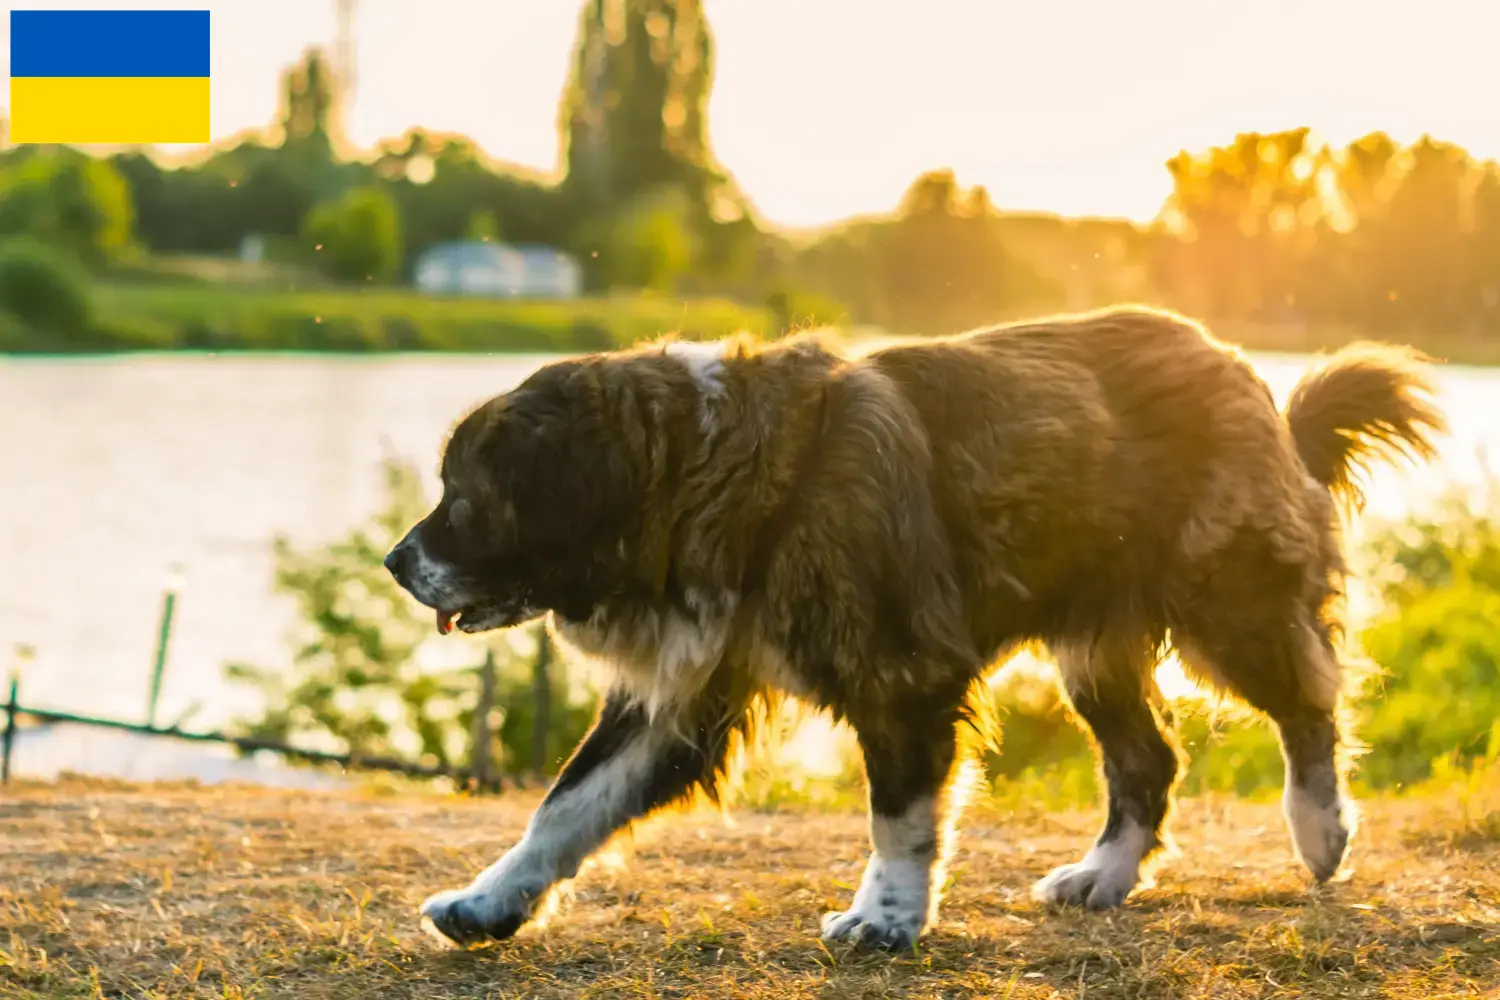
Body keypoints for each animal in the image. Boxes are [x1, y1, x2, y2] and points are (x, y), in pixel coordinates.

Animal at [384, 308, 1440, 953]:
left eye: (464, 501)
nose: (396, 562)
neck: (713, 473)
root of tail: (1251, 379)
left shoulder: (902, 676)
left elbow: (898, 816)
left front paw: (885, 919)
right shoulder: (679, 701)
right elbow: (564, 808)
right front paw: (488, 904)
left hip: (1228, 609)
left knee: (1309, 707)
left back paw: (1320, 831)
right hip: (1093, 651)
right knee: (1150, 762)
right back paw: (1102, 876)